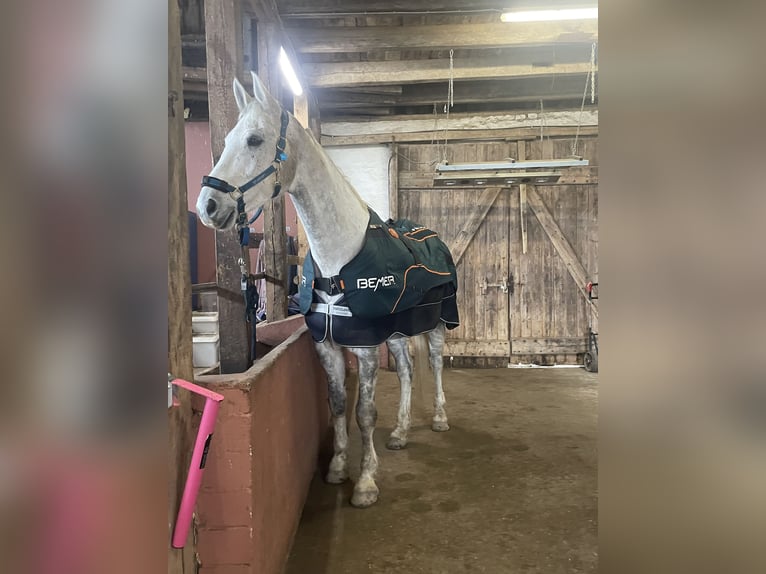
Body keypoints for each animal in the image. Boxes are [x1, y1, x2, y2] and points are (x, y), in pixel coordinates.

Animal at [198, 72, 460, 508]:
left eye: (254, 139)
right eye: (228, 138)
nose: (208, 205)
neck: (339, 259)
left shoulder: (365, 347)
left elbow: (364, 413)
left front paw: (366, 482)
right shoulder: (328, 345)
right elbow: (337, 405)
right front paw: (338, 467)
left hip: (437, 323)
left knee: (437, 363)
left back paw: (439, 419)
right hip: (397, 333)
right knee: (407, 372)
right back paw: (400, 433)